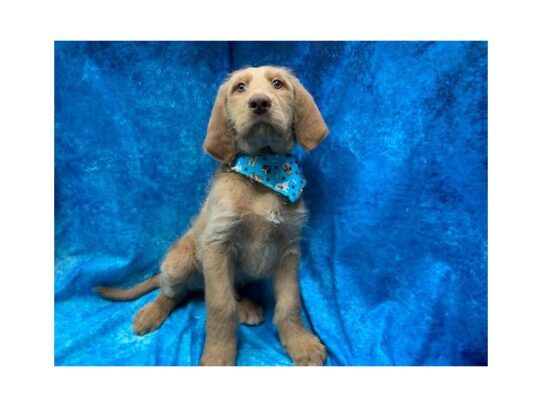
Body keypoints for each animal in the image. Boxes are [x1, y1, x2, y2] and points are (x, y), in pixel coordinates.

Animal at [95, 67, 330, 366]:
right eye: (240, 88)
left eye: (278, 84)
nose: (260, 103)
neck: (264, 171)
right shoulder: (217, 246)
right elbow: (220, 305)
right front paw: (218, 354)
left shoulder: (288, 248)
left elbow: (290, 302)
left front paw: (300, 343)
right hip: (181, 261)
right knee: (172, 292)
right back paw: (152, 312)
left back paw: (246, 307)